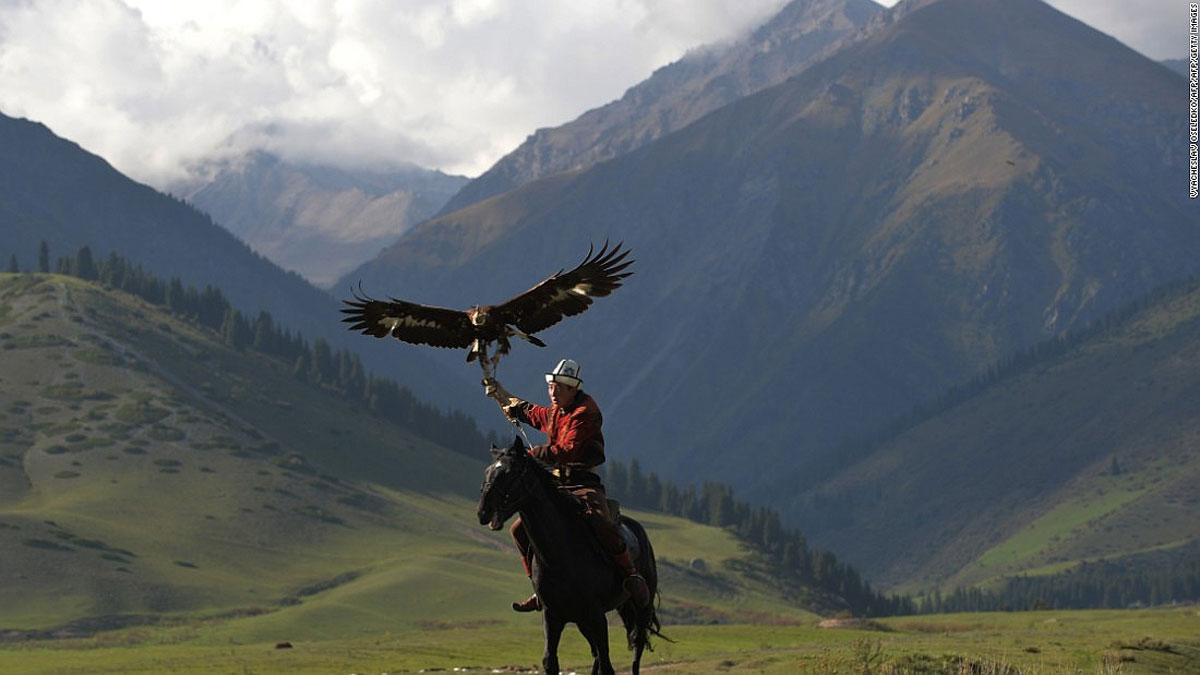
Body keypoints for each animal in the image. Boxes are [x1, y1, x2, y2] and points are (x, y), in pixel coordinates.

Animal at [477, 432, 667, 667]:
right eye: (487, 471)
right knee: (596, 655)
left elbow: (606, 663)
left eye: (508, 472)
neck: (559, 557)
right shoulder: (553, 615)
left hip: (639, 609)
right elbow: (551, 659)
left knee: (635, 649)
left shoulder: (596, 615)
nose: (483, 512)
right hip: (590, 617)